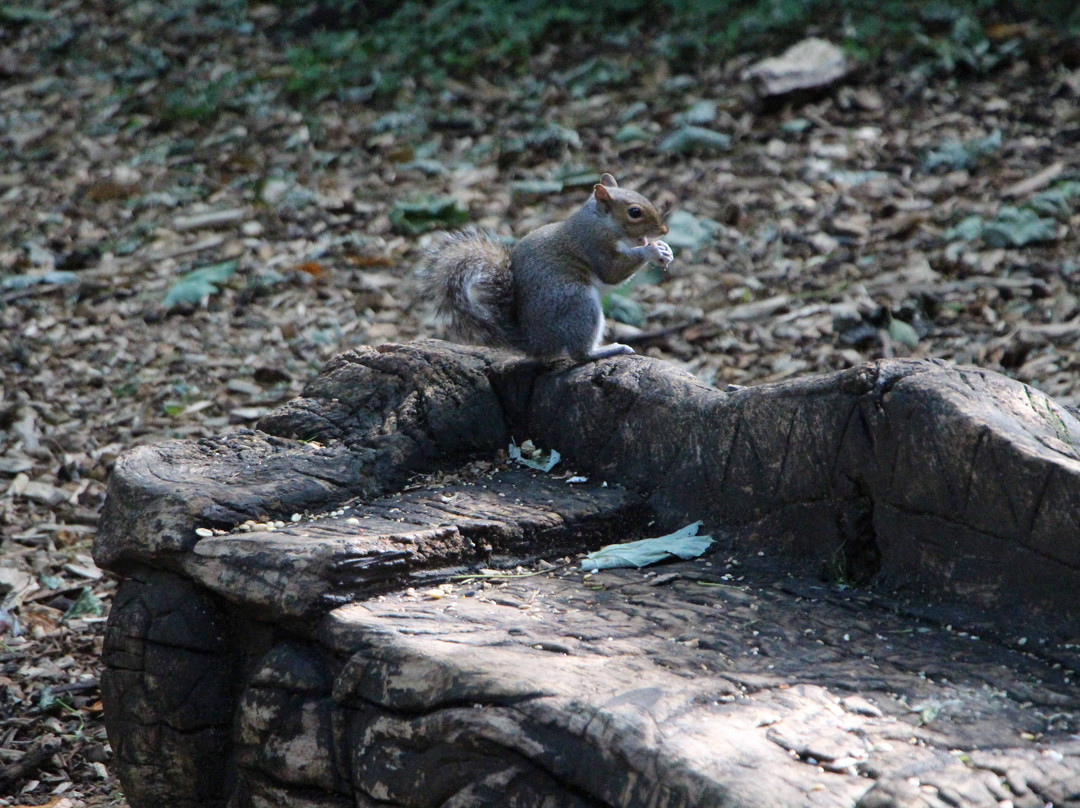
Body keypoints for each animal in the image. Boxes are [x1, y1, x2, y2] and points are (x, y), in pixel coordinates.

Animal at [419, 173, 665, 362]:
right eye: (634, 212)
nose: (664, 230)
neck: (601, 221)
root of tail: (535, 343)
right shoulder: (594, 245)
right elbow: (613, 272)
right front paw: (651, 251)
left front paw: (661, 248)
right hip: (577, 302)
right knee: (579, 353)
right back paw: (609, 349)